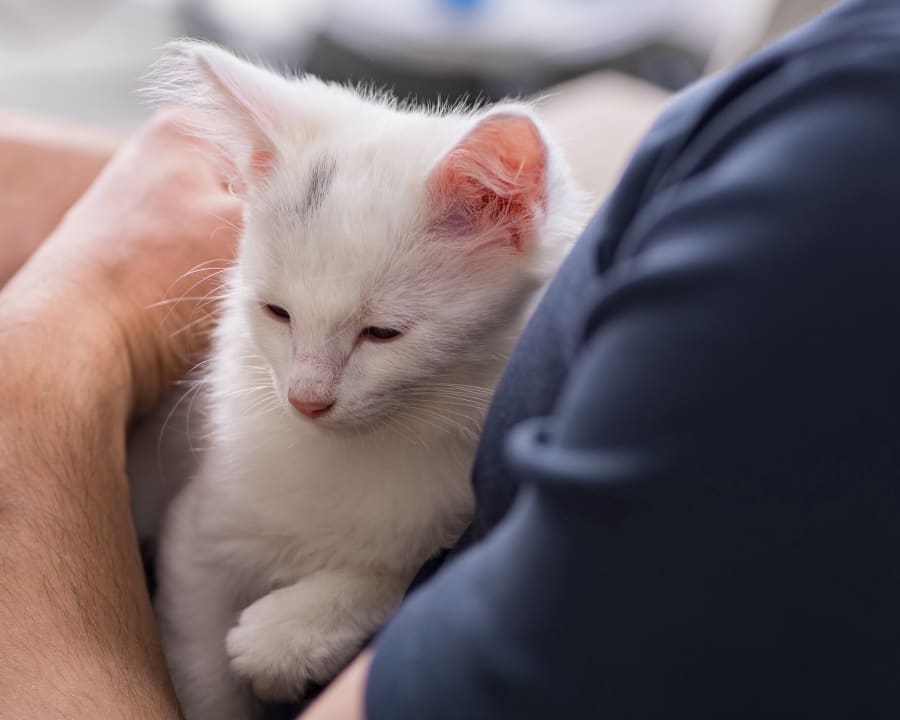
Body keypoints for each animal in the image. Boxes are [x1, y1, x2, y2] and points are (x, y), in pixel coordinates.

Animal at [132, 40, 584, 720]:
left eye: (383, 333)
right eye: (278, 312)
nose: (306, 400)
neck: (372, 447)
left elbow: (410, 572)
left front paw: (286, 637)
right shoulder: (196, 536)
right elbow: (203, 671)